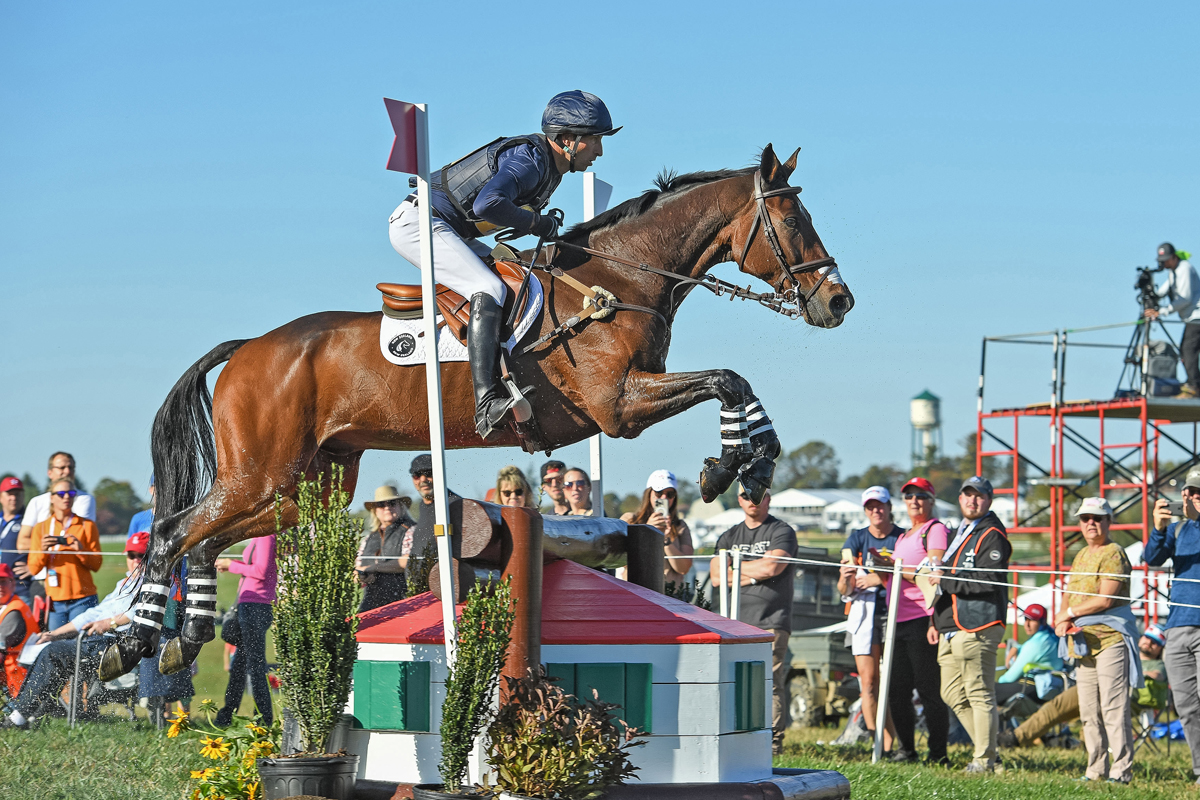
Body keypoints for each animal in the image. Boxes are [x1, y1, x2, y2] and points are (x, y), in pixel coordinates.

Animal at [100, 140, 854, 681]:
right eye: (793, 221)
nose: (838, 302)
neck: (621, 277)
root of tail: (249, 348)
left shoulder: (626, 402)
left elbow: (735, 384)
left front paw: (751, 464)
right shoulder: (618, 407)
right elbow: (727, 380)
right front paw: (731, 466)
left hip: (309, 487)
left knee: (205, 539)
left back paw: (182, 640)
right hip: (259, 473)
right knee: (171, 532)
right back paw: (130, 648)